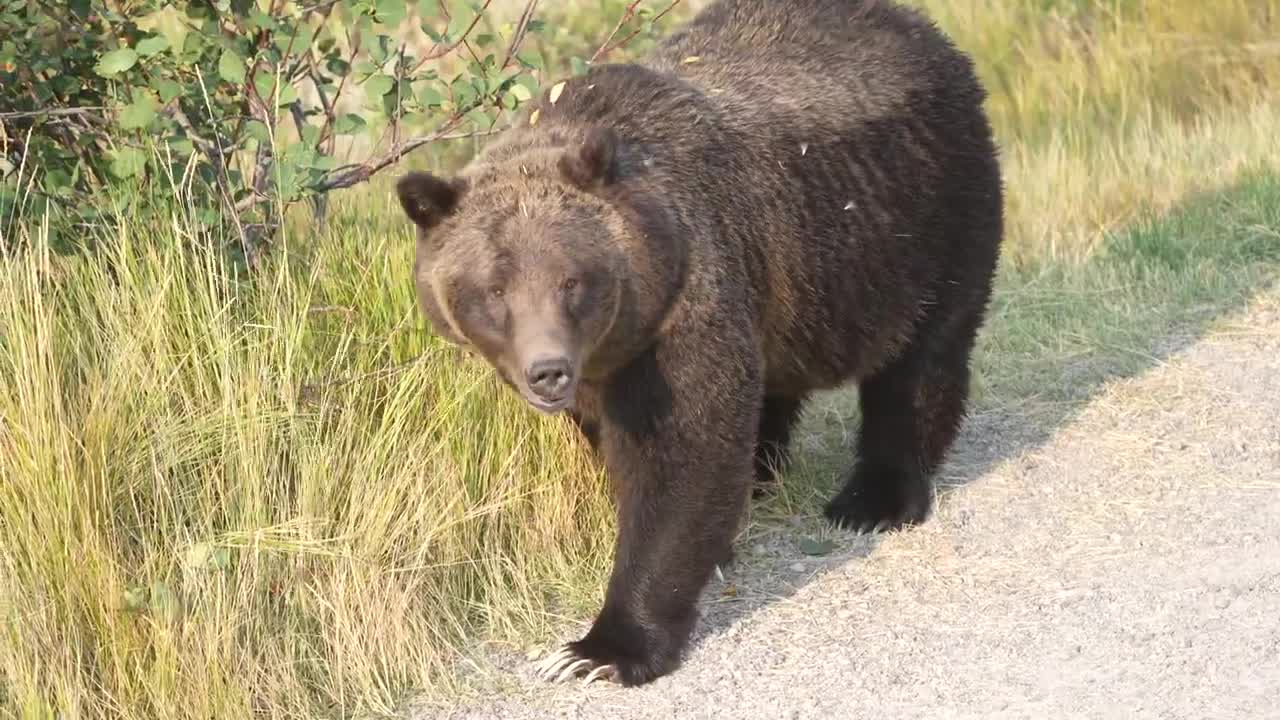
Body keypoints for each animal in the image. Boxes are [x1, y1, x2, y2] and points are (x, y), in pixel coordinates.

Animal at [394, 0, 1003, 686]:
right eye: (494, 289)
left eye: (571, 280)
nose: (547, 372)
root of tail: (922, 28)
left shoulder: (686, 300)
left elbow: (683, 452)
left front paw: (599, 650)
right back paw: (763, 474)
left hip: (925, 217)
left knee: (920, 361)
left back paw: (873, 498)